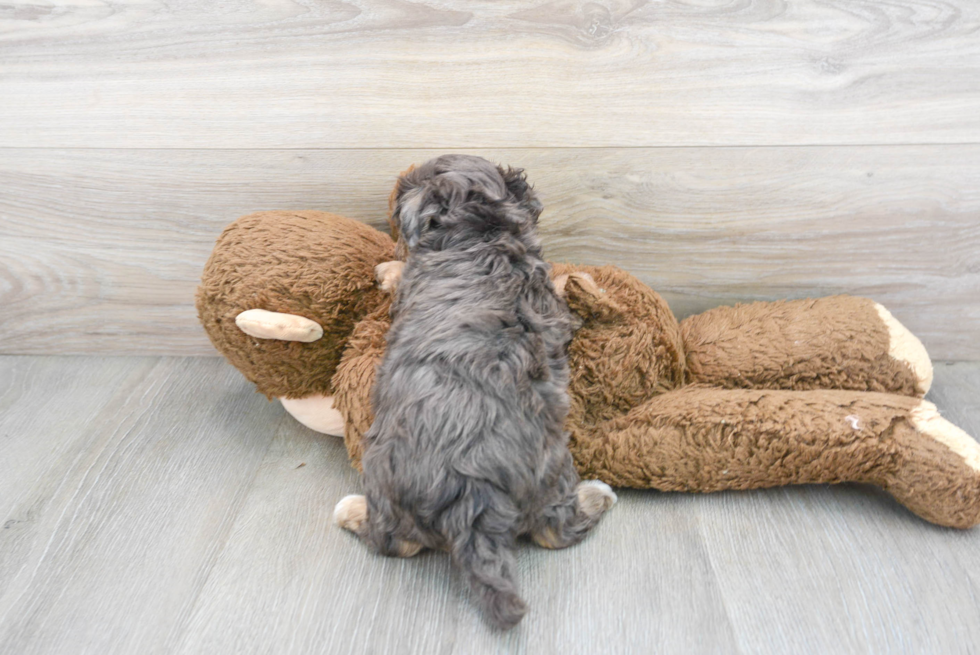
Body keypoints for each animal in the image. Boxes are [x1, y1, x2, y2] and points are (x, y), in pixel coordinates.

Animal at [334, 154, 616, 632]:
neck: (481, 226)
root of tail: (473, 490)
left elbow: (401, 272)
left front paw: (387, 268)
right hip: (551, 466)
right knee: (553, 531)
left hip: (382, 474)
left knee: (393, 542)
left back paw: (351, 510)